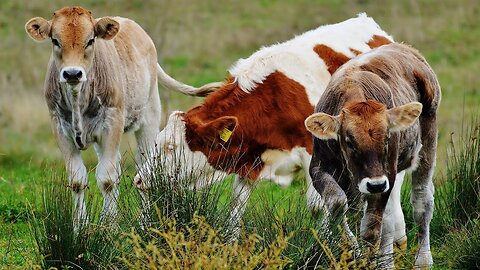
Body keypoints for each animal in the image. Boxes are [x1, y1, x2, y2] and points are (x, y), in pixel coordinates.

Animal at [26, 6, 219, 230]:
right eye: (55, 41)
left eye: (90, 40)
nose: (72, 73)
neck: (77, 100)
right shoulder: (60, 128)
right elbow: (77, 180)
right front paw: (80, 226)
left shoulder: (112, 125)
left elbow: (107, 179)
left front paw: (109, 225)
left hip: (150, 120)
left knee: (145, 171)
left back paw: (146, 221)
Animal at [136, 14, 394, 234]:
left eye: (171, 147)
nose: (139, 180)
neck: (273, 102)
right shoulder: (250, 161)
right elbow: (235, 208)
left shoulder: (312, 155)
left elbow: (319, 206)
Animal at [306, 43, 440, 266]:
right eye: (349, 141)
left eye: (387, 138)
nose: (375, 184)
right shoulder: (319, 168)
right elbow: (337, 203)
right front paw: (355, 251)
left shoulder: (386, 176)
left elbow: (370, 228)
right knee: (389, 218)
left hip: (427, 142)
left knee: (422, 201)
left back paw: (423, 260)